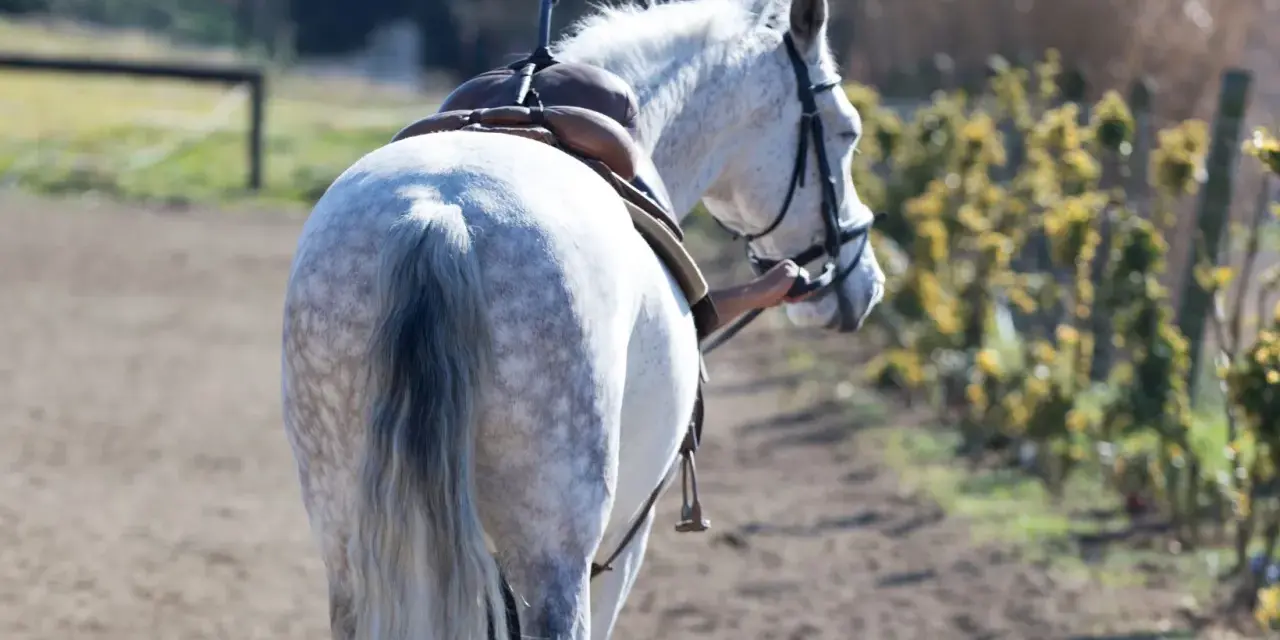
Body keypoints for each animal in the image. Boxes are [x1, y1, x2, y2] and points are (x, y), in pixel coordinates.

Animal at [279, 0, 885, 638]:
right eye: (847, 130)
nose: (863, 281)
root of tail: (440, 215)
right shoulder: (624, 542)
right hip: (556, 551)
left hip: (351, 540)